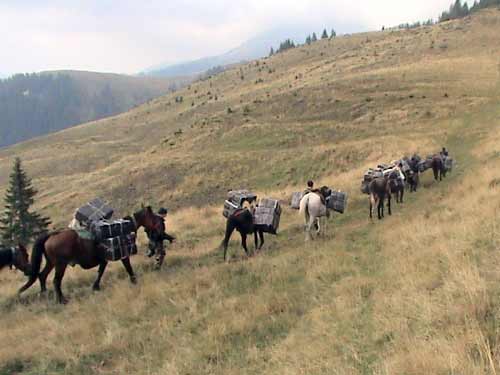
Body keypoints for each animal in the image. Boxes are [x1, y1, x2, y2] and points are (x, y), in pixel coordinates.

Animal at [17, 207, 161, 304]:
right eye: (155, 218)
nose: (160, 229)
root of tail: (51, 235)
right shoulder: (123, 254)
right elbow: (127, 267)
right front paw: (134, 280)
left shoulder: (104, 259)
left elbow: (100, 271)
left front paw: (95, 287)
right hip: (60, 265)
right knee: (56, 281)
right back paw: (62, 300)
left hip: (51, 263)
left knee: (42, 276)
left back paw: (44, 294)